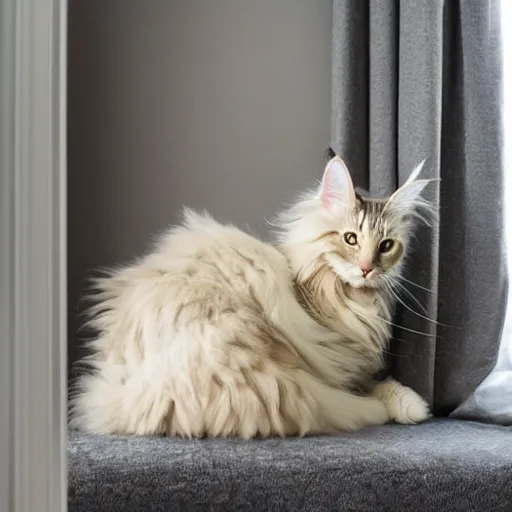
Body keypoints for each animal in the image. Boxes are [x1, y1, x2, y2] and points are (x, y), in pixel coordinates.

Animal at [70, 151, 434, 436]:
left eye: (386, 246)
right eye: (350, 239)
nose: (367, 269)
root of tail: (129, 391)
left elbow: (382, 380)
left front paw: (413, 405)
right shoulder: (335, 359)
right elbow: (374, 384)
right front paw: (409, 406)